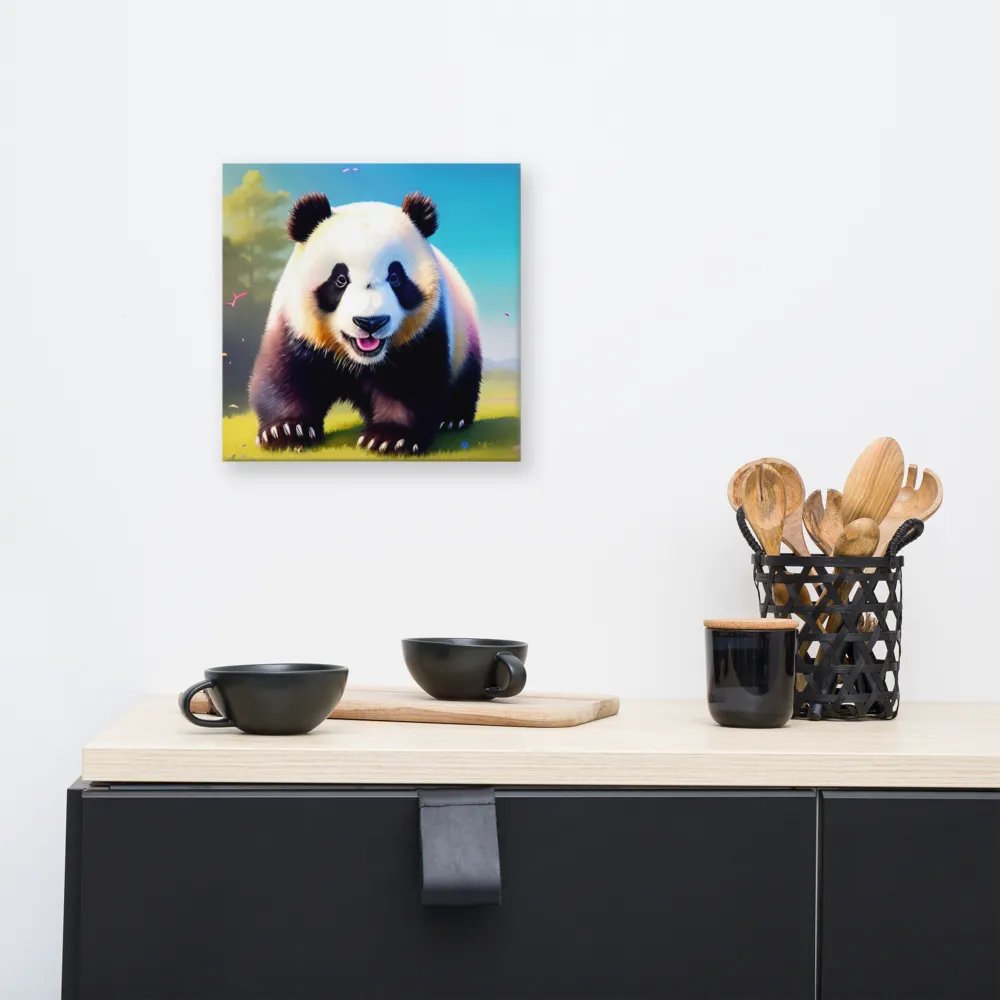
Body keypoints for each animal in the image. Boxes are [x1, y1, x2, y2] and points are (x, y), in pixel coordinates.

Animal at [249, 191, 482, 455]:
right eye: (340, 279)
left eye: (395, 277)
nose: (371, 322)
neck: (359, 360)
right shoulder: (297, 327)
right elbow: (285, 375)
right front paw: (286, 431)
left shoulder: (424, 331)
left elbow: (412, 380)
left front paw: (389, 437)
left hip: (464, 333)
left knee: (465, 377)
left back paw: (452, 418)